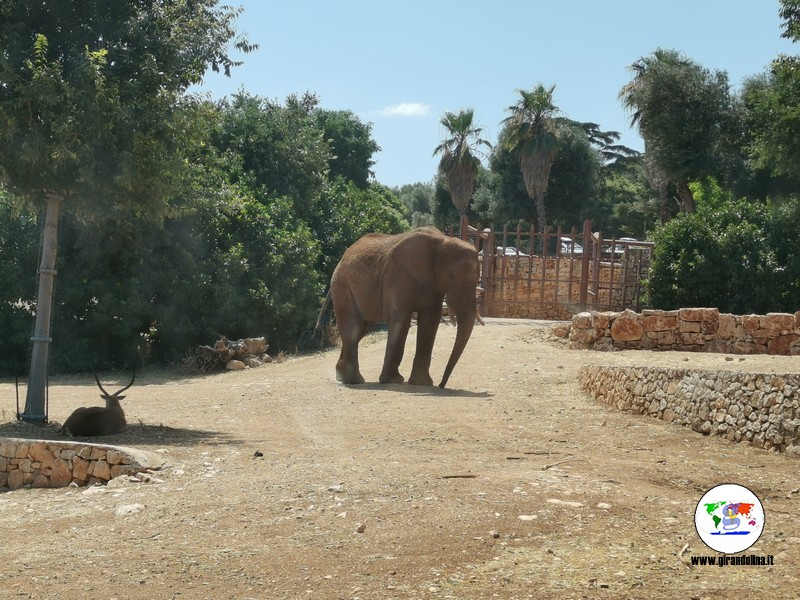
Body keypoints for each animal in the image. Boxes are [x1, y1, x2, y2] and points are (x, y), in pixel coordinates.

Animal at [328, 226, 478, 390]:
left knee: (362, 329)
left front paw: (422, 384)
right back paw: (354, 381)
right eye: (451, 277)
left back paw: (341, 376)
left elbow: (430, 321)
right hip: (342, 287)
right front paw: (393, 381)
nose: (441, 385)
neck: (443, 241)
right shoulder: (398, 275)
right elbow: (401, 319)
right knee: (353, 328)